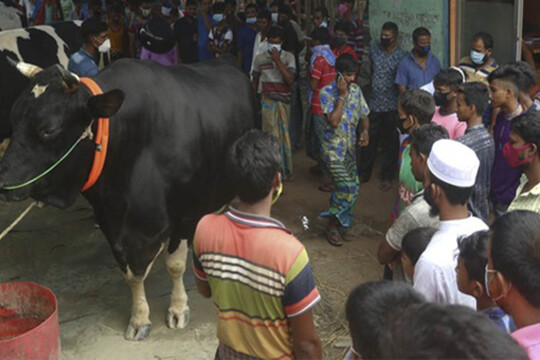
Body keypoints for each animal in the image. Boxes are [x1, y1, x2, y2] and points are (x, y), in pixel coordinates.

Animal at [0, 57, 255, 340]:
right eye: (13, 118)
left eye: (48, 129)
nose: (3, 181)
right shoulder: (112, 224)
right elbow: (132, 275)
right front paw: (139, 318)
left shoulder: (185, 215)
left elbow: (175, 265)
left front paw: (178, 309)